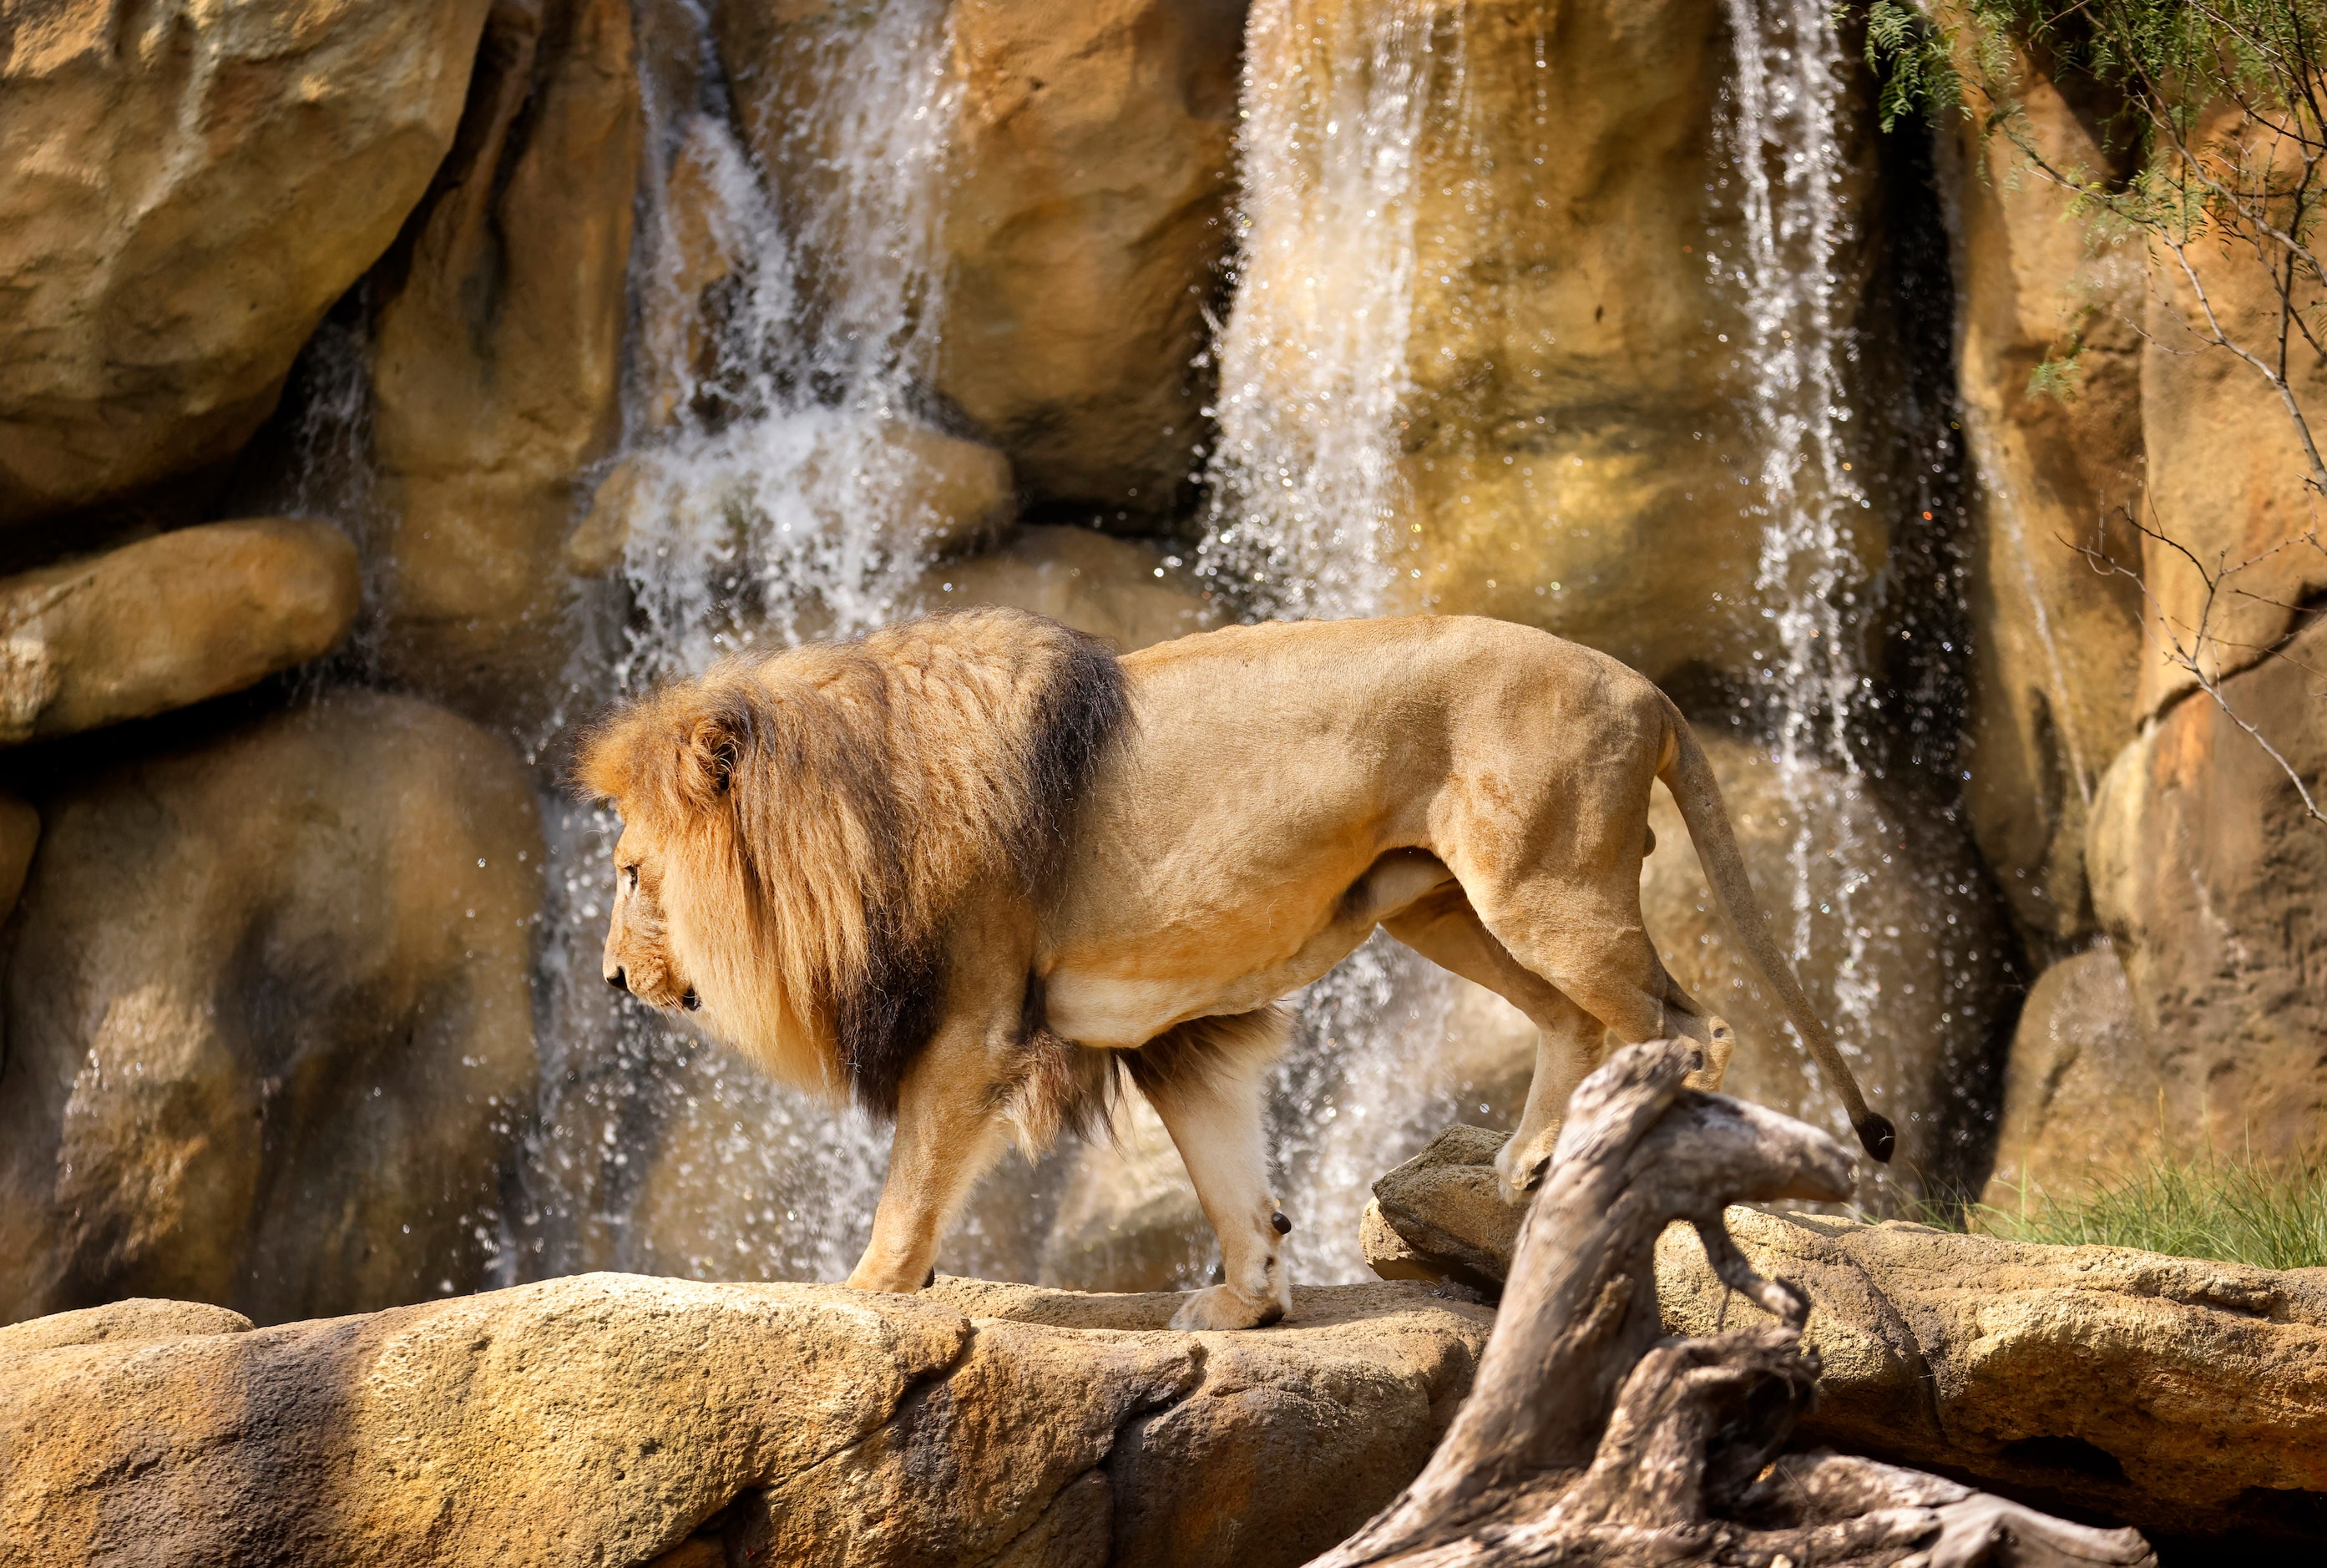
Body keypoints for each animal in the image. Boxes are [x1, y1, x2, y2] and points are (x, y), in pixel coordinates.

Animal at [577, 604, 1889, 1321]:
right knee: (1577, 1017)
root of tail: (1645, 684)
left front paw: (859, 1300)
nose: (606, 982)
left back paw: (1620, 1155)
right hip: (1447, 903)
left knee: (1688, 1022)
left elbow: (909, 1187)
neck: (855, 808)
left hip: (1540, 885)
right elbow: (1225, 1171)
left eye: (634, 871)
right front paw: (1246, 1299)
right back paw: (1529, 1159)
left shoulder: (973, 1022)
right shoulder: (1167, 1029)